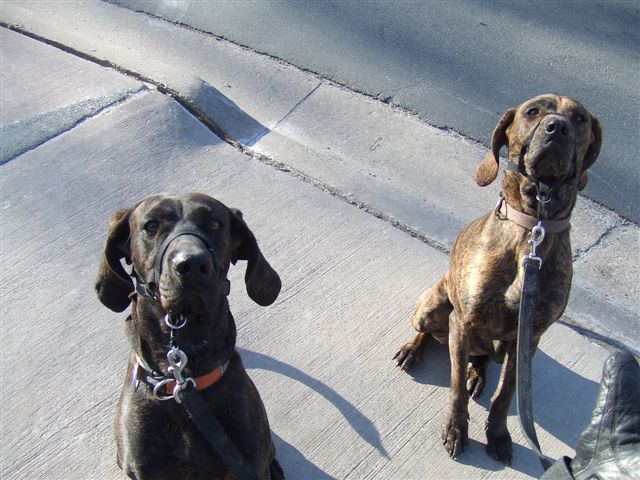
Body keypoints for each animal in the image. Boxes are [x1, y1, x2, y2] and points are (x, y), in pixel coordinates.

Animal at [396, 94, 600, 464]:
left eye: (579, 119)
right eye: (533, 111)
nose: (557, 127)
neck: (532, 227)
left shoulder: (526, 341)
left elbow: (505, 394)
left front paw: (498, 434)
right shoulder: (463, 321)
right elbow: (455, 389)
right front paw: (456, 429)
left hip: (502, 348)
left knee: (483, 359)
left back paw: (477, 374)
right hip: (432, 306)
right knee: (428, 333)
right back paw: (412, 350)